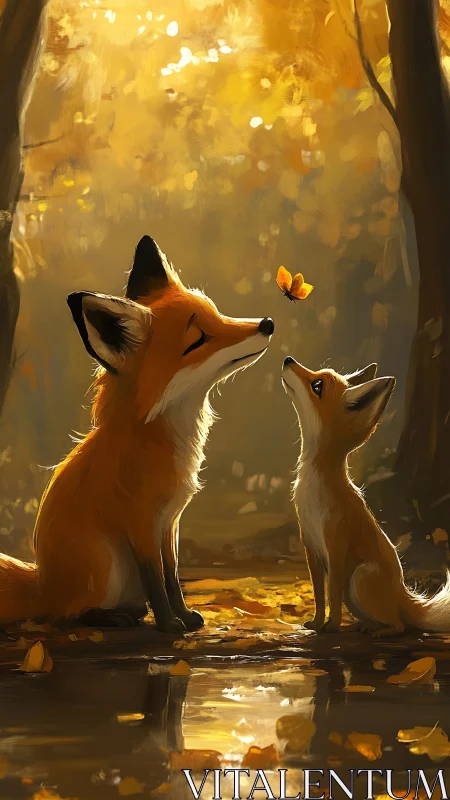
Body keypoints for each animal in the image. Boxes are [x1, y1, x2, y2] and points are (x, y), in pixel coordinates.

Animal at [0, 236, 274, 632]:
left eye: (217, 313)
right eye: (199, 339)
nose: (267, 323)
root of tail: (41, 585)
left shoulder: (170, 522)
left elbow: (171, 575)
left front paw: (184, 616)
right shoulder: (140, 522)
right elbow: (155, 578)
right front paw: (168, 624)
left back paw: (132, 611)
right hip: (104, 561)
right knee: (68, 614)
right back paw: (112, 616)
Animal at [282, 356, 450, 636]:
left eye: (317, 385)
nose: (288, 359)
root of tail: (404, 597)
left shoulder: (336, 547)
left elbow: (332, 593)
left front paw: (332, 627)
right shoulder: (311, 549)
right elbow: (319, 595)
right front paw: (316, 624)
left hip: (360, 578)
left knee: (400, 625)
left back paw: (383, 631)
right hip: (355, 593)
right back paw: (366, 627)